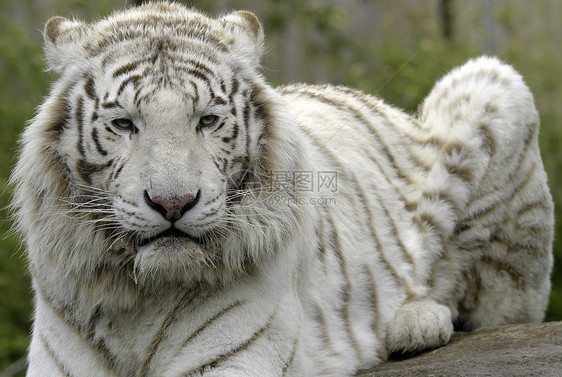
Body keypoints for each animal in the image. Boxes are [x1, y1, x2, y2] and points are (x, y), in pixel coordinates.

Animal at [12, 1, 552, 374]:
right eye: (124, 124)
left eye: (207, 120)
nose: (173, 203)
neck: (143, 295)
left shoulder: (236, 356)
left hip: (492, 84)